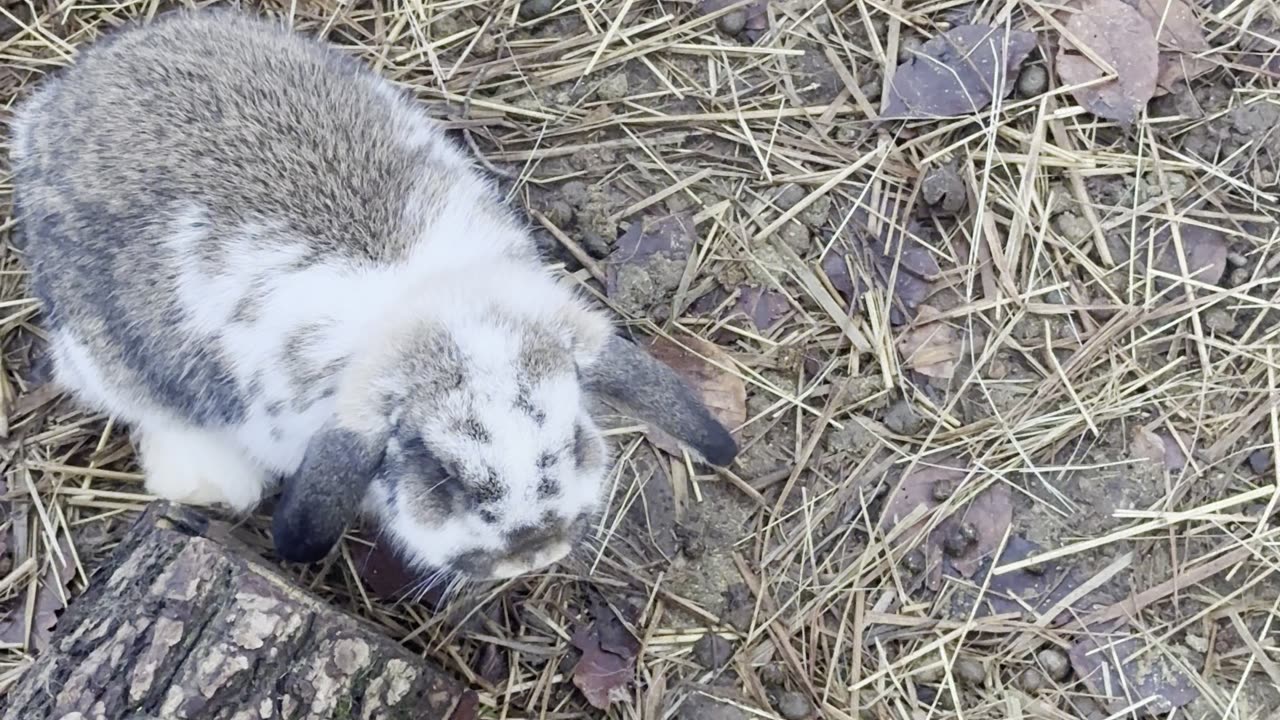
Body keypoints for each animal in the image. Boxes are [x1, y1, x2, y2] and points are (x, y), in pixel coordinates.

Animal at [9, 8, 738, 581]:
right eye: (438, 474)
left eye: (571, 442)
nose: (535, 552)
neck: (421, 302)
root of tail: (52, 106)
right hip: (98, 343)